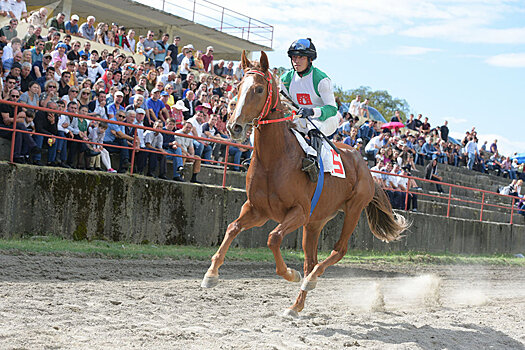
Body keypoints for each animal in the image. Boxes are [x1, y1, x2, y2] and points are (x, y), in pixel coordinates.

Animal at [201, 50, 406, 316]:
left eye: (258, 89)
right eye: (238, 86)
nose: (234, 127)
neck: (274, 159)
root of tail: (366, 167)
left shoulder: (298, 211)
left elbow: (273, 238)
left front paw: (290, 273)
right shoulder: (257, 210)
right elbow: (232, 228)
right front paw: (211, 274)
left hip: (352, 209)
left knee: (338, 250)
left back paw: (310, 280)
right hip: (316, 222)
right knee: (311, 261)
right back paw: (296, 304)